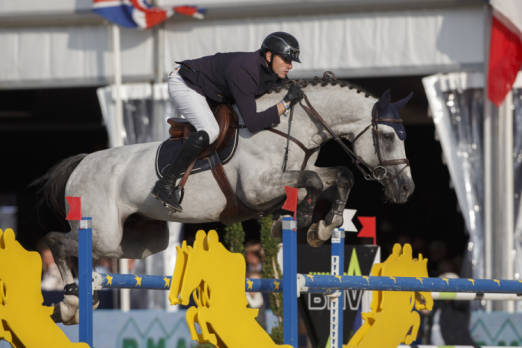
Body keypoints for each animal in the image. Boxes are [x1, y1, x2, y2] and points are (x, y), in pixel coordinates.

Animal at [33, 72, 414, 324]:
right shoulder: (258, 188)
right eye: (387, 136)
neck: (288, 128)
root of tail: (82, 162)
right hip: (102, 231)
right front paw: (296, 221)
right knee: (55, 240)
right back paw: (70, 304)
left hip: (140, 242)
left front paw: (322, 228)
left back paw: (73, 302)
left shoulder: (299, 174)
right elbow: (312, 182)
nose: (406, 189)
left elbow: (339, 175)